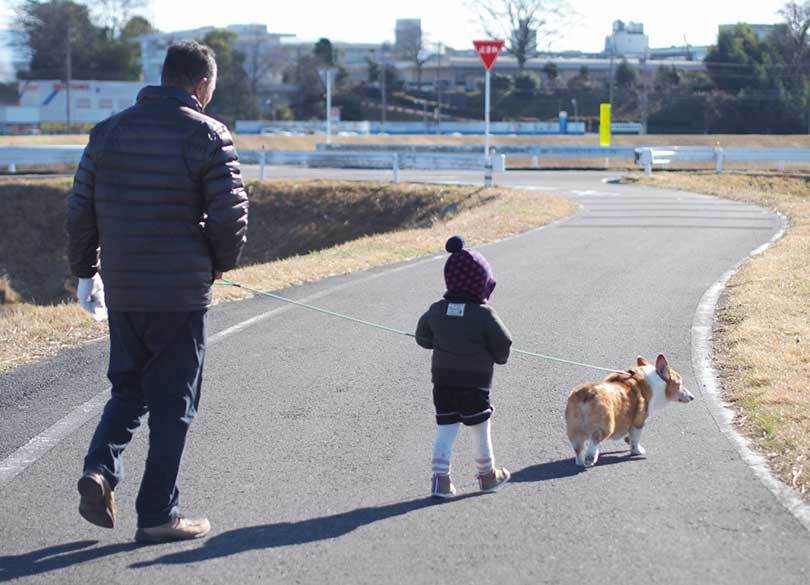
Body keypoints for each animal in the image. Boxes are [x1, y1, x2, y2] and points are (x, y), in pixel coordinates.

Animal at [560, 354, 696, 468]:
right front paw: (637, 451)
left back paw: (580, 461)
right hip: (605, 427)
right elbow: (635, 440)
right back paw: (590, 458)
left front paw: (627, 440)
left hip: (574, 428)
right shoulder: (638, 423)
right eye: (680, 384)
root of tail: (586, 393)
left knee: (578, 448)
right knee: (593, 442)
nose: (692, 397)